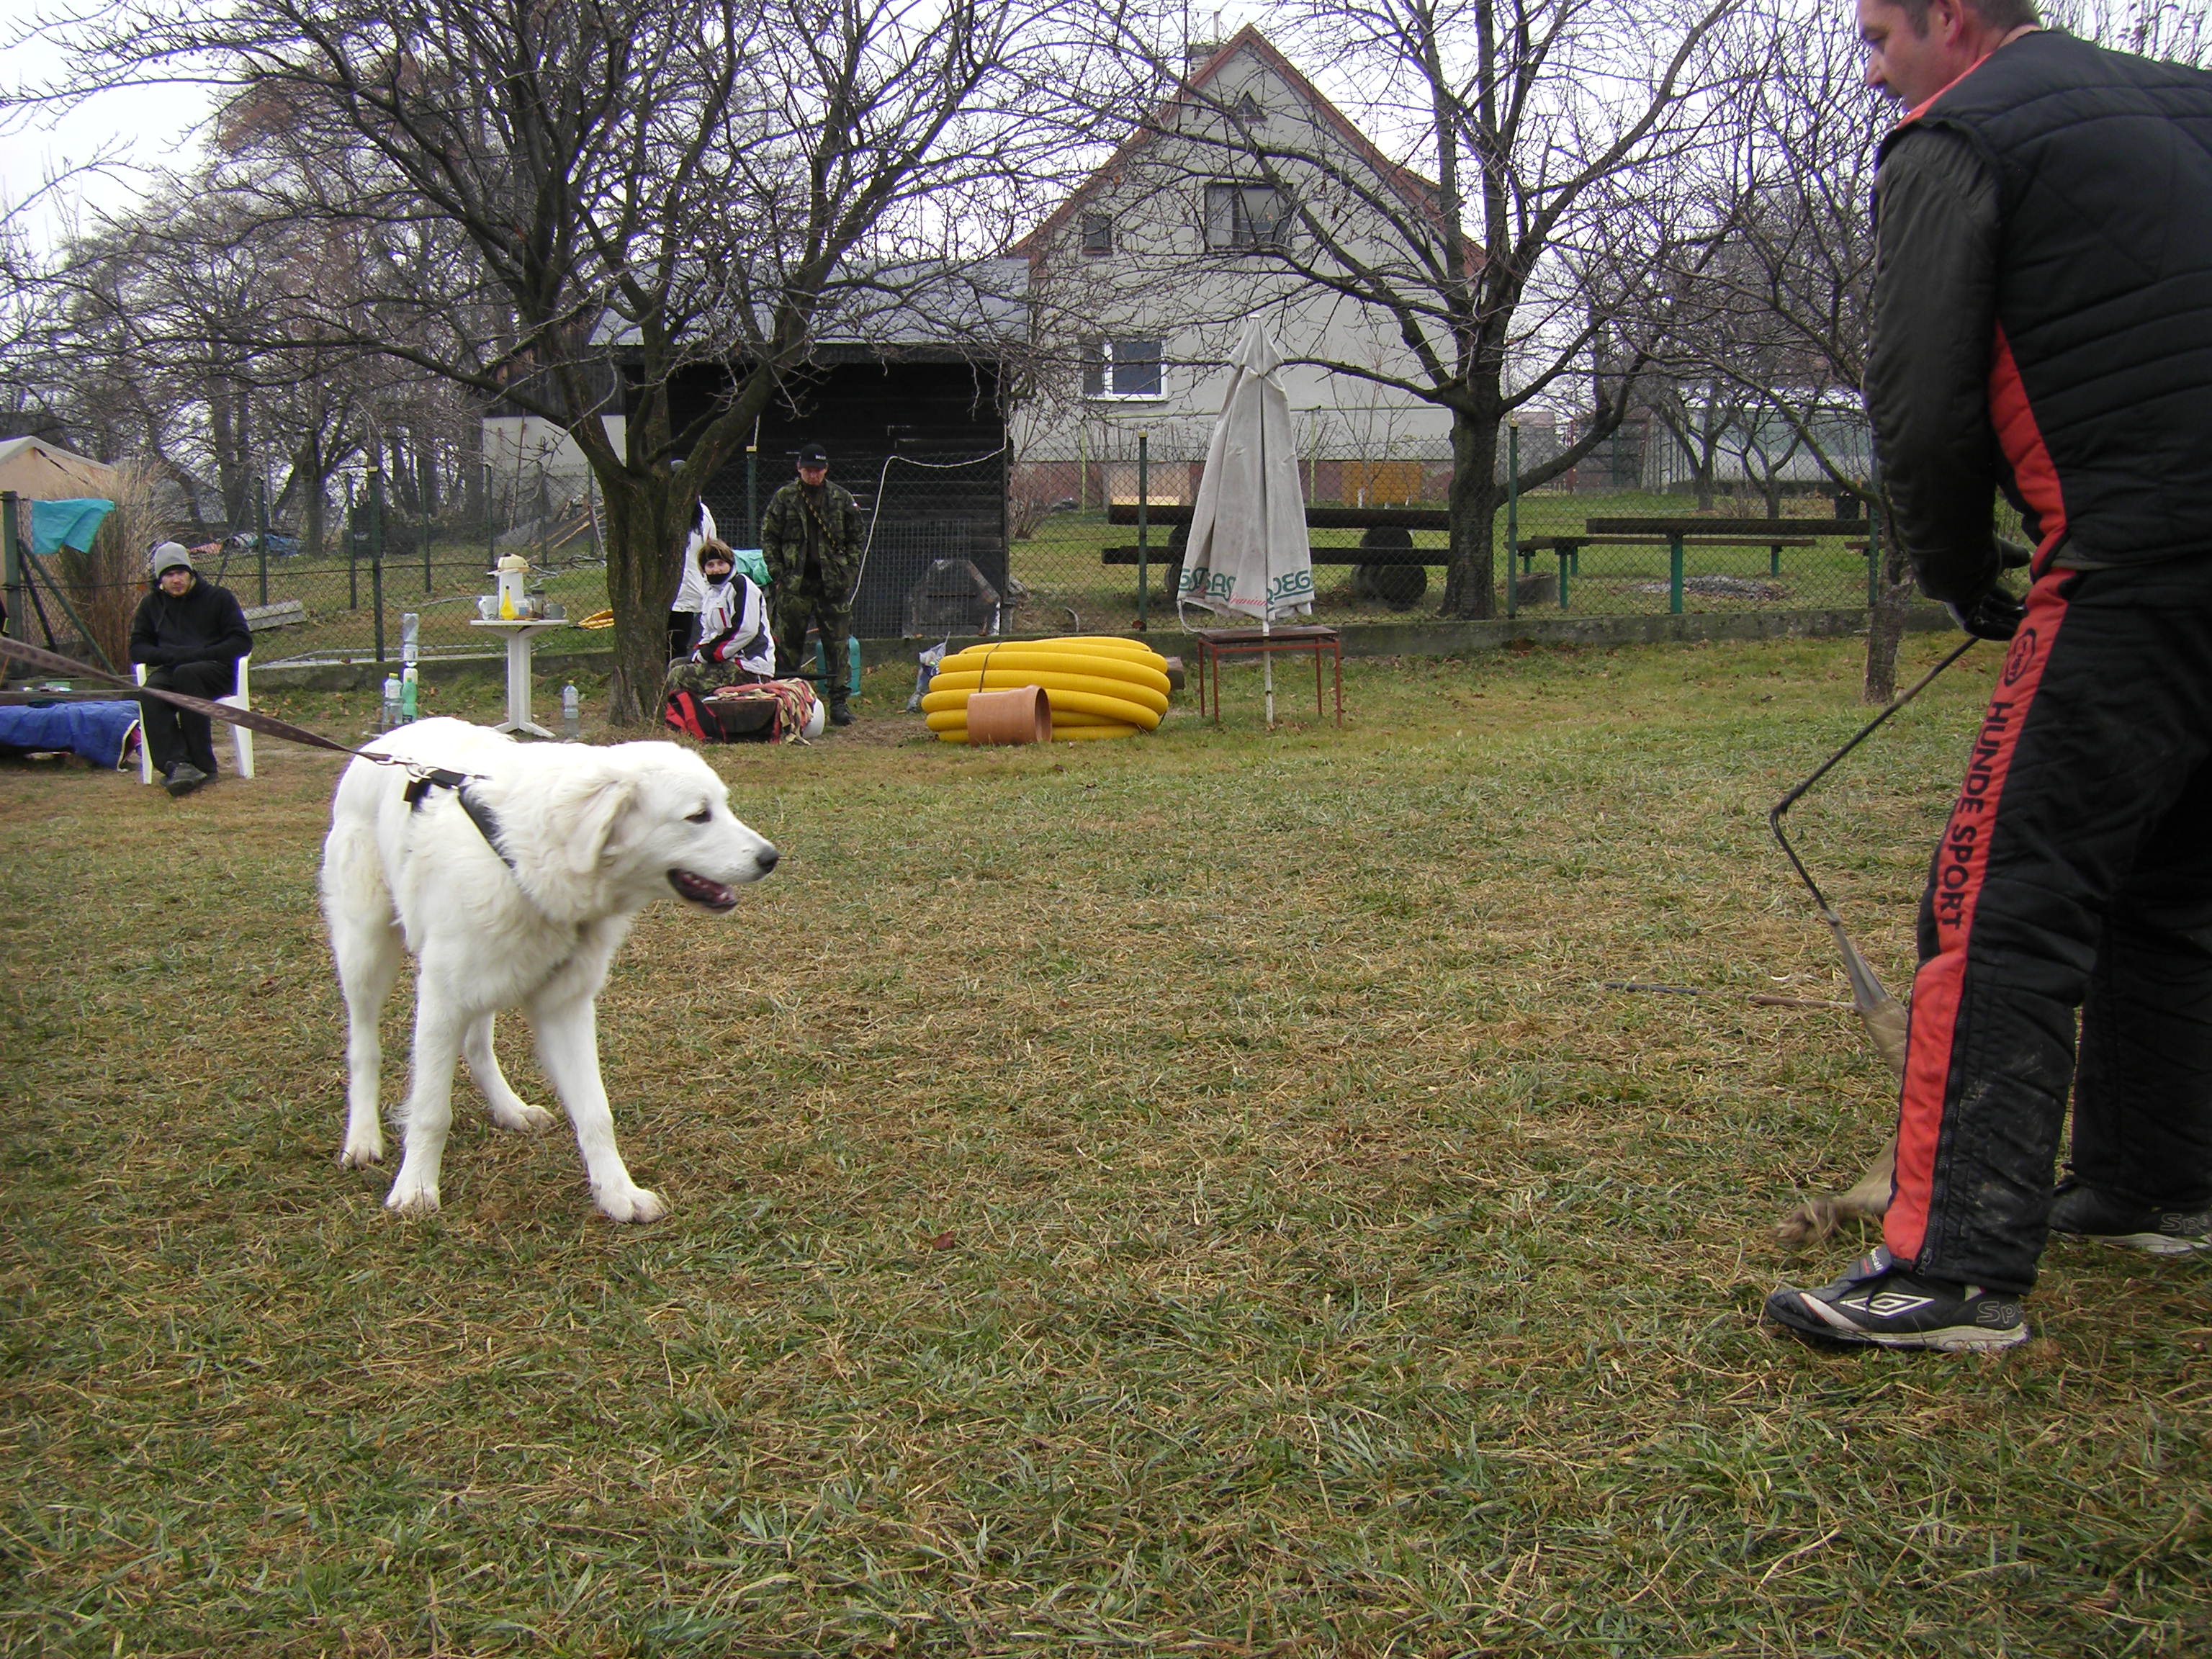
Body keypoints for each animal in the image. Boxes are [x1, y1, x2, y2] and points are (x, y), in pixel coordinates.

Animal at [323, 721, 778, 1230]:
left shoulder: (566, 1007)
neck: (524, 861)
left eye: (723, 805)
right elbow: (430, 1111)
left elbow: (596, 1112)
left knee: (478, 1044)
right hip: (365, 953)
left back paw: (509, 1109)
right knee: (365, 1046)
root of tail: (382, 741)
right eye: (699, 816)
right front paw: (417, 1188)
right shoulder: (441, 1000)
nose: (771, 858)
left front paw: (618, 1194)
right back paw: (363, 1138)